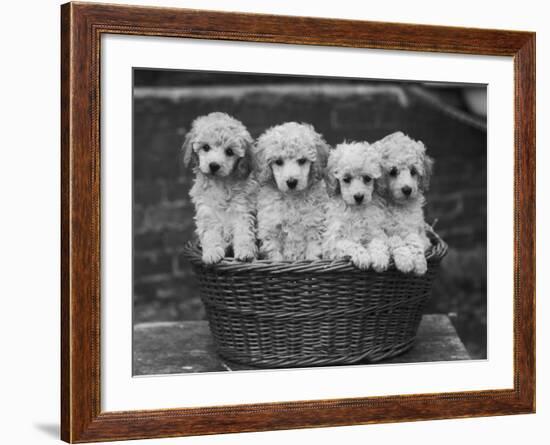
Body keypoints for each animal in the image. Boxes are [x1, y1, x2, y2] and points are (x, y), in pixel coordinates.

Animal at [182, 112, 258, 264]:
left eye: (229, 151)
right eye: (205, 147)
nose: (214, 165)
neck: (220, 183)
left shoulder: (242, 209)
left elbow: (244, 232)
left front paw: (245, 252)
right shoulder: (207, 211)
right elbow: (210, 233)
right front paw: (212, 253)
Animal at [253, 121, 328, 260]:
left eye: (302, 160)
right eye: (278, 161)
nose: (291, 182)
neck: (292, 197)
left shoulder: (314, 225)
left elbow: (313, 251)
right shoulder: (271, 229)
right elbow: (275, 255)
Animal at [326, 140, 390, 270]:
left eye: (367, 178)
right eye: (346, 179)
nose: (359, 197)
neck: (356, 210)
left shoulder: (375, 229)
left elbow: (378, 241)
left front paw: (380, 258)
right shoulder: (333, 241)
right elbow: (349, 244)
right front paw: (363, 256)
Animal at [376, 130, 436, 272]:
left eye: (413, 171)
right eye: (393, 171)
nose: (407, 189)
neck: (398, 206)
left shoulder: (417, 231)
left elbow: (414, 240)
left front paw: (420, 263)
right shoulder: (382, 231)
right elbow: (395, 240)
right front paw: (405, 261)